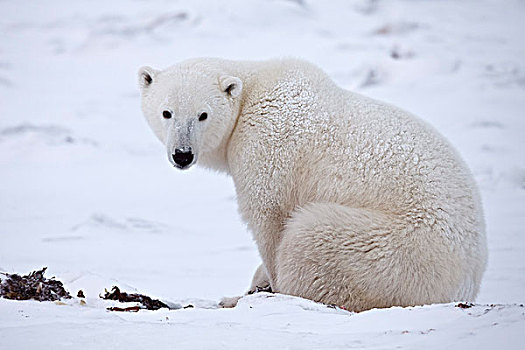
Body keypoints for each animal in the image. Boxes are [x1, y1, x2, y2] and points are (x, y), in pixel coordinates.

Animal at [137, 58, 486, 312]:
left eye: (203, 115)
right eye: (167, 112)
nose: (182, 154)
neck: (253, 92)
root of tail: (468, 282)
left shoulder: (265, 147)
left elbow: (268, 219)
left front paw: (264, 284)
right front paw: (257, 280)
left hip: (398, 254)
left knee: (308, 239)